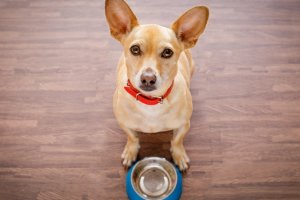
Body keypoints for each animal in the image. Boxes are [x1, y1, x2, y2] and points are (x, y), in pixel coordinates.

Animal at [105, 0, 209, 170]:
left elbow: (177, 141)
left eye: (167, 52)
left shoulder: (183, 125)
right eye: (135, 49)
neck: (150, 101)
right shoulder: (124, 124)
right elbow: (132, 138)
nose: (148, 79)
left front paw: (179, 155)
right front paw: (131, 151)